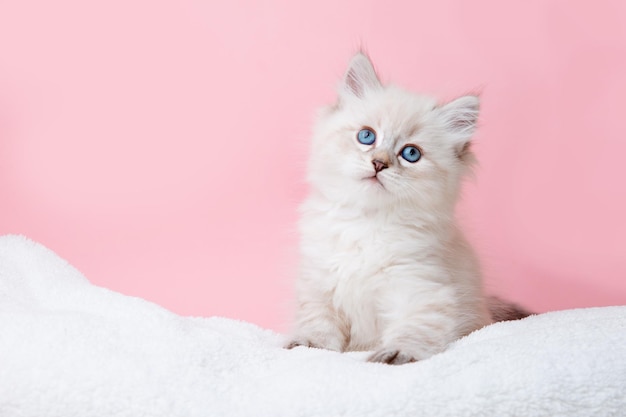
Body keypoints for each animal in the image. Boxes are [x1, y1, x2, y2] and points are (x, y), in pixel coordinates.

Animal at [286, 52, 524, 364]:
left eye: (411, 154)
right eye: (366, 136)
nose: (378, 163)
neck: (366, 223)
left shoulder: (420, 288)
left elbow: (414, 329)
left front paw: (395, 355)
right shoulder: (319, 284)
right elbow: (317, 323)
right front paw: (308, 345)